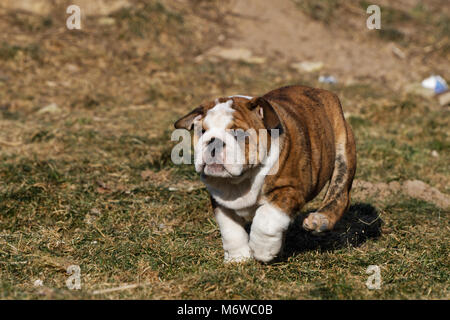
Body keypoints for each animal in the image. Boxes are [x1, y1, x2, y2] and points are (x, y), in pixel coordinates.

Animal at [173, 85, 356, 262]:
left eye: (238, 133)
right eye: (202, 132)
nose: (214, 141)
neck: (241, 179)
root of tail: (323, 92)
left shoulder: (289, 190)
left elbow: (266, 218)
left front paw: (262, 250)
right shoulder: (220, 201)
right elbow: (230, 229)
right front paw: (238, 257)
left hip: (343, 151)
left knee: (340, 195)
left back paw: (320, 220)